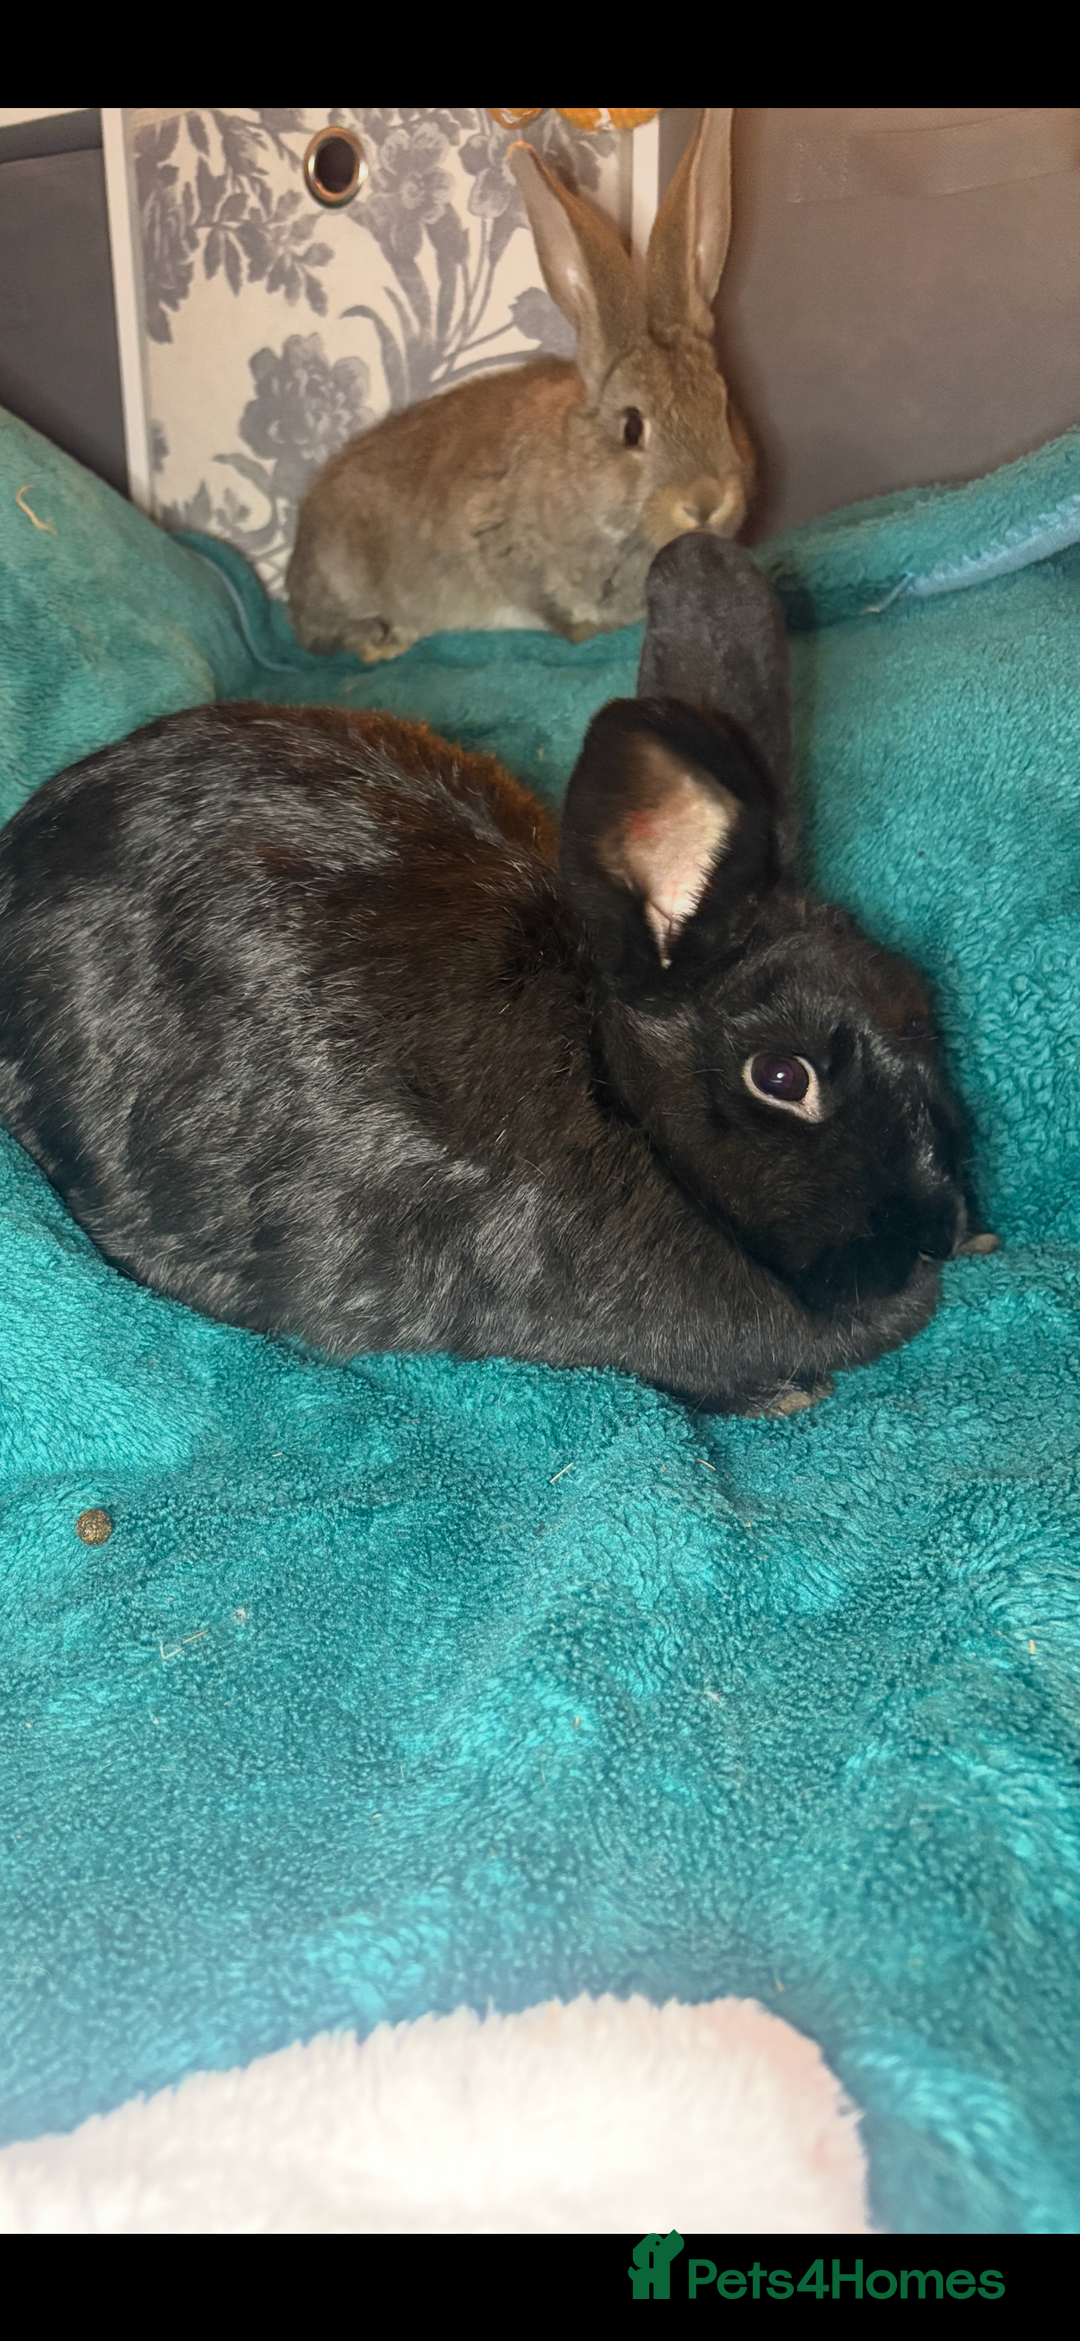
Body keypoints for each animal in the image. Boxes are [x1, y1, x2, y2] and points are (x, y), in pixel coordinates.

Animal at [286, 108, 754, 664]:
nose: (705, 501)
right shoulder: (503, 549)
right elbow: (555, 611)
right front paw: (592, 631)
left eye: (724, 407)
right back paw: (384, 643)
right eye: (632, 429)